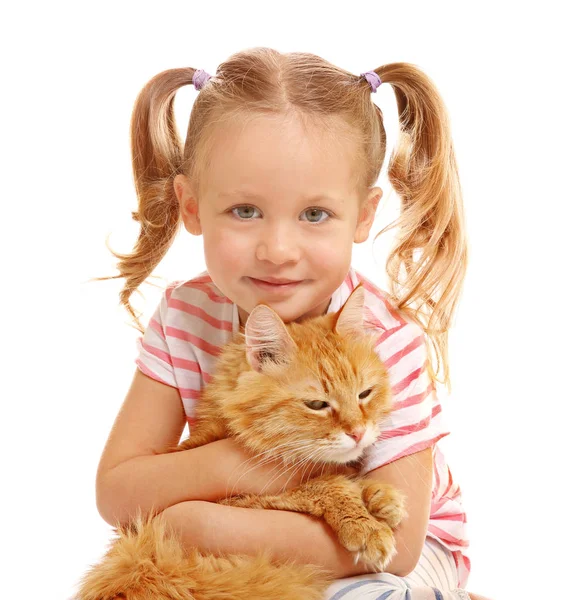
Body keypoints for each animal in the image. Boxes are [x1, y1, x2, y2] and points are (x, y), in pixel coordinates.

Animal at [76, 286, 406, 600]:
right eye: (316, 404)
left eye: (364, 394)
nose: (358, 432)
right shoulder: (247, 498)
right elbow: (322, 486)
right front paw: (366, 524)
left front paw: (381, 496)